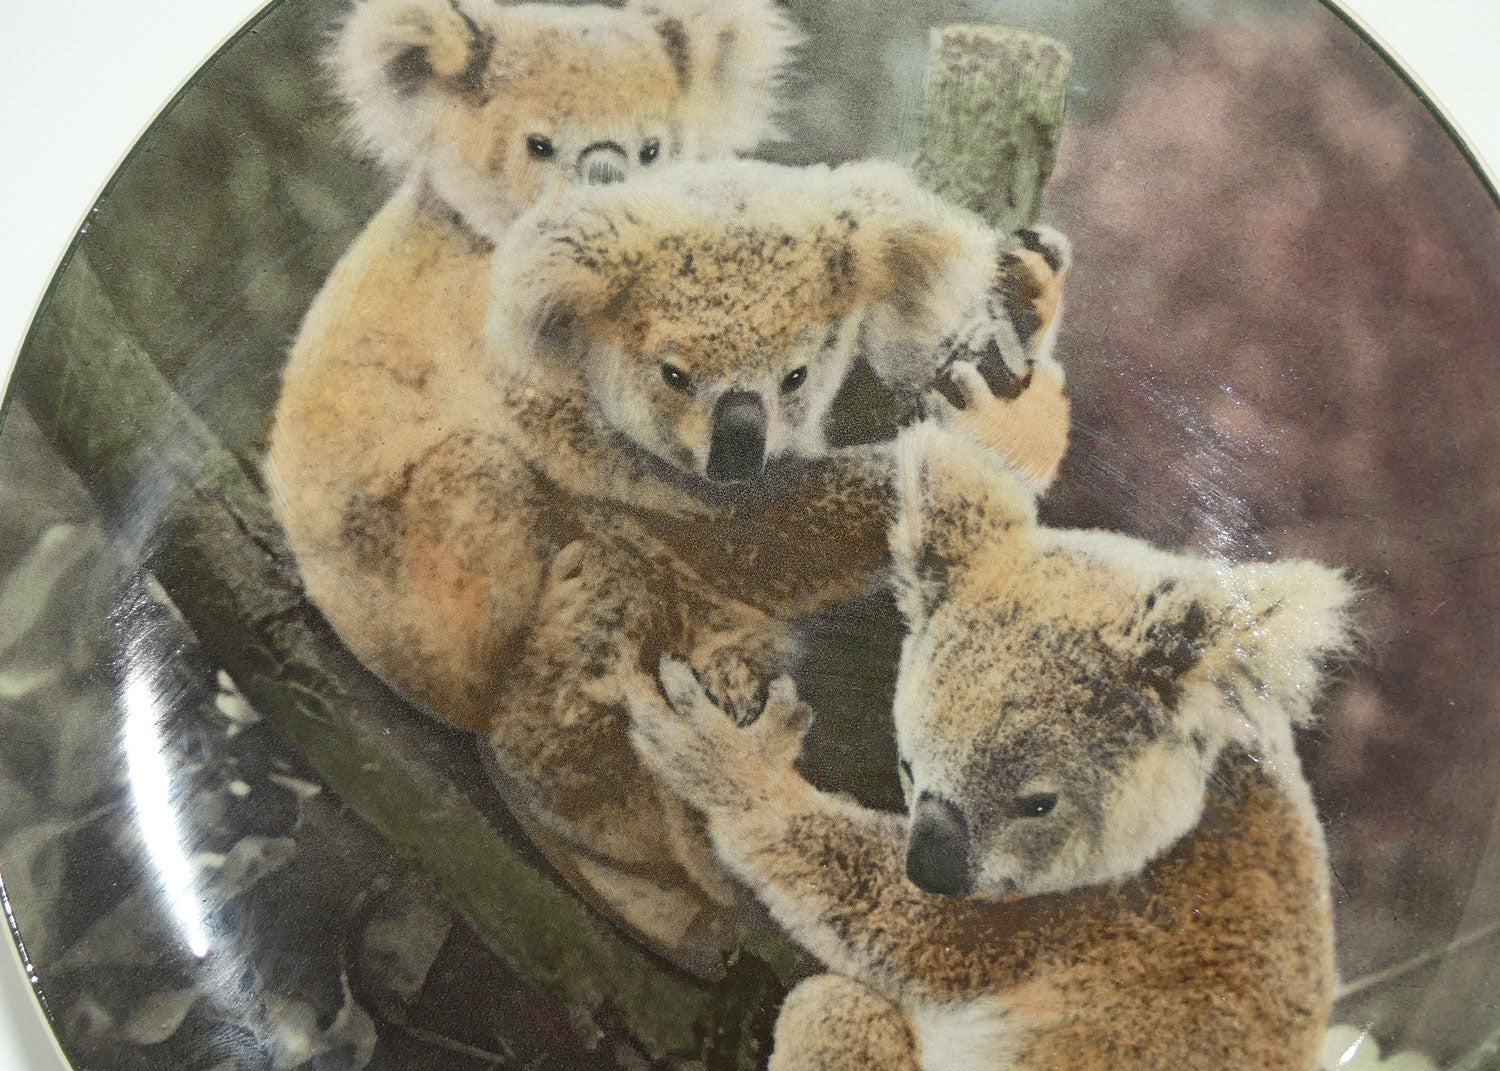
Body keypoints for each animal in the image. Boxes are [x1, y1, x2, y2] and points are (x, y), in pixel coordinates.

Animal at [267, 154, 1074, 968]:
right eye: (674, 374)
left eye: (796, 375)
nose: (739, 447)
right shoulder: (570, 424)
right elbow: (755, 538)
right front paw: (994, 430)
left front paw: (1026, 301)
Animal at [624, 417, 1358, 1065]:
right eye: (907, 764)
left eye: (1039, 804)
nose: (931, 868)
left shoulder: (1072, 926)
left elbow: (913, 930)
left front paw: (730, 763)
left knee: (832, 1006)